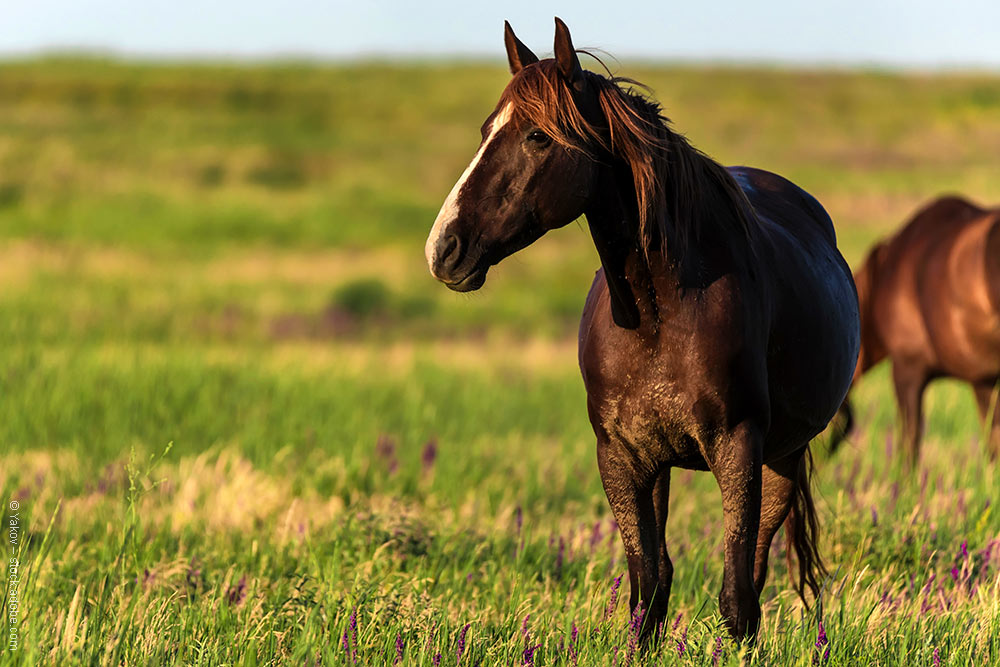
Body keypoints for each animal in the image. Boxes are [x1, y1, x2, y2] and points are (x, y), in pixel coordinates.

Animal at [422, 18, 860, 640]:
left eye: (538, 137)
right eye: (486, 130)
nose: (443, 248)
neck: (659, 318)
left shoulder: (739, 448)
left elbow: (735, 599)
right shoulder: (623, 457)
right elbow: (648, 591)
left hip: (782, 455)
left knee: (754, 572)